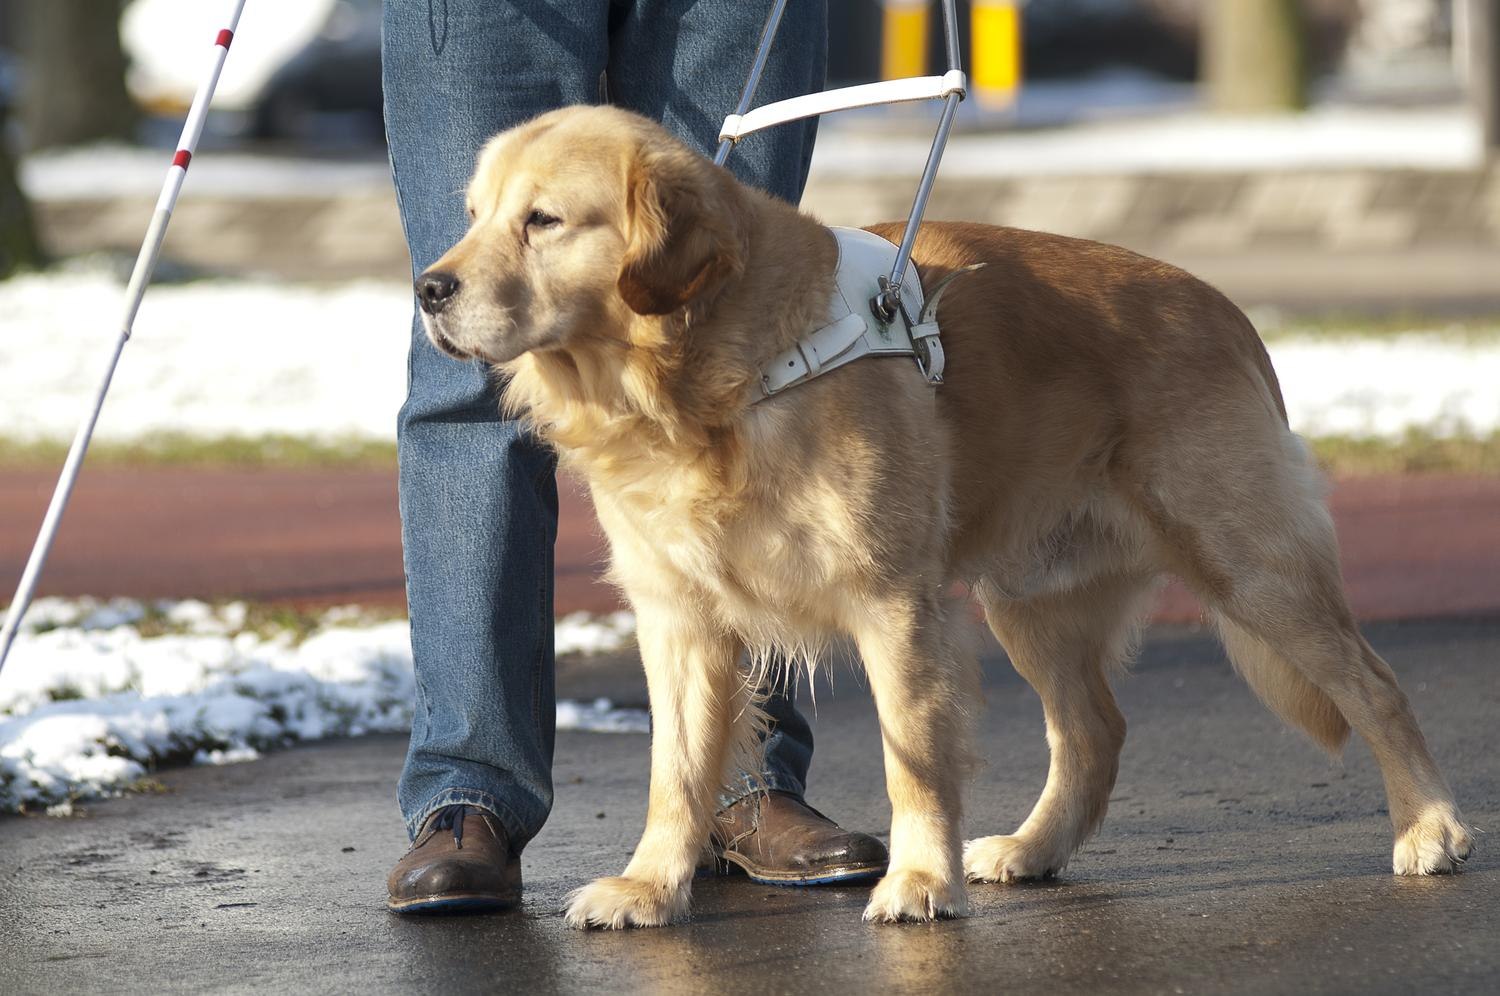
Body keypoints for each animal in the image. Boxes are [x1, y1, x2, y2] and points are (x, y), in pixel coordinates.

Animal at [417, 102, 1470, 924]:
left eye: (544, 220)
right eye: (471, 217)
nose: (428, 287)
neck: (709, 379)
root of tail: (1223, 306)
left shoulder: (893, 600)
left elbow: (913, 756)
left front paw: (921, 881)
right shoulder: (680, 618)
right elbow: (676, 771)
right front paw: (650, 886)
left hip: (1247, 562)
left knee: (1375, 685)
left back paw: (1430, 826)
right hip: (1029, 599)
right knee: (1093, 731)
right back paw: (1035, 849)